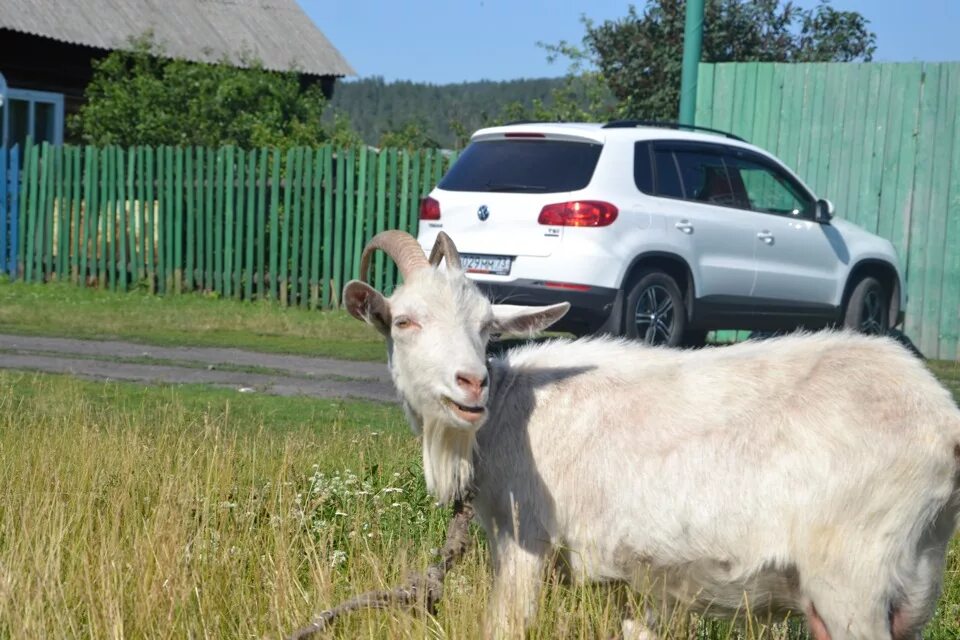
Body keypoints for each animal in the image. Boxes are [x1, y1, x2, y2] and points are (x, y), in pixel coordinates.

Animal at [344, 230, 960, 640]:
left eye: (487, 327)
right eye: (405, 321)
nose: (471, 383)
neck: (509, 413)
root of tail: (942, 420)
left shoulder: (525, 540)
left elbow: (508, 623)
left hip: (852, 581)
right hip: (911, 580)